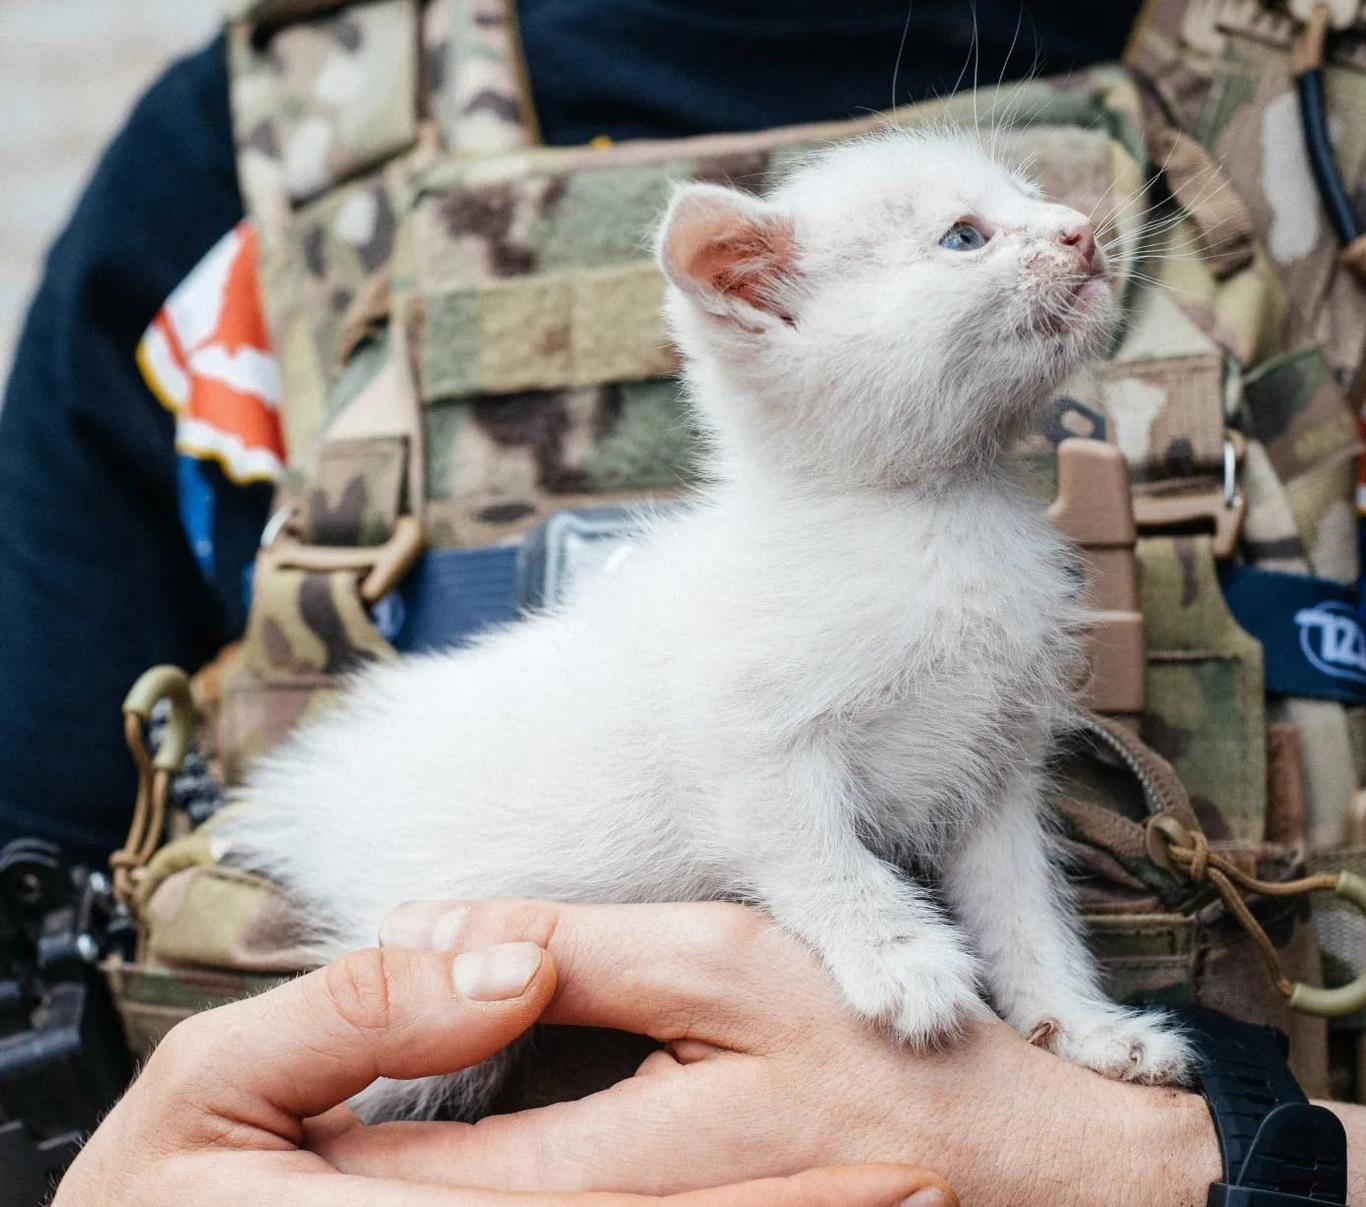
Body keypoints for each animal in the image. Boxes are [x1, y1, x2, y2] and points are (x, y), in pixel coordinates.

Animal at [221, 126, 1185, 1119]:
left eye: (1027, 191)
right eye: (964, 235)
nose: (1081, 231)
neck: (936, 520)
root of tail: (326, 790)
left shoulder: (995, 770)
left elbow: (1024, 911)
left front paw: (1087, 1030)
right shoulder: (742, 746)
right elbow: (816, 854)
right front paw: (899, 959)